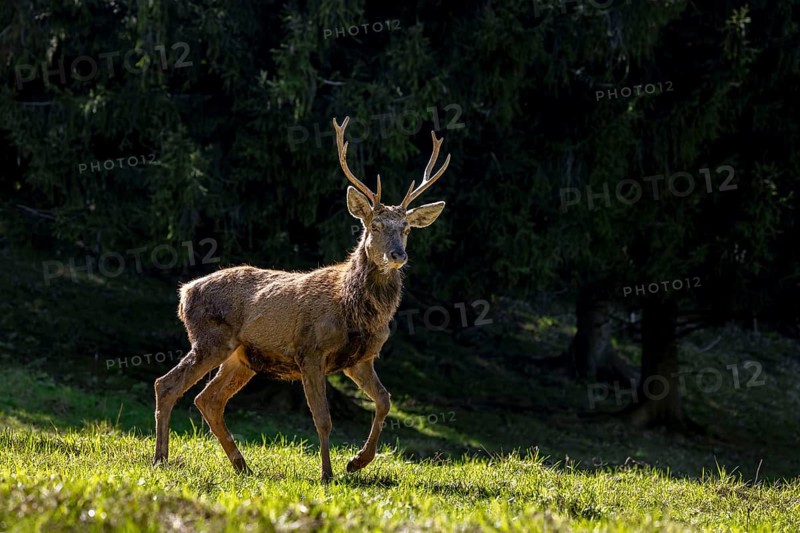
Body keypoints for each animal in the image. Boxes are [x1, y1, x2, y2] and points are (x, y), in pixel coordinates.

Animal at [152, 116, 451, 481]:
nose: (398, 254)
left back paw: (242, 465)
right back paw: (161, 459)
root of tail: (184, 292)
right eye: (375, 225)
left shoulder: (361, 358)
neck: (352, 308)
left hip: (241, 357)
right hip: (211, 339)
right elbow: (323, 419)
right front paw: (327, 473)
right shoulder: (310, 351)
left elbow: (384, 400)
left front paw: (357, 462)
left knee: (208, 399)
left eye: (407, 228)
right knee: (166, 384)